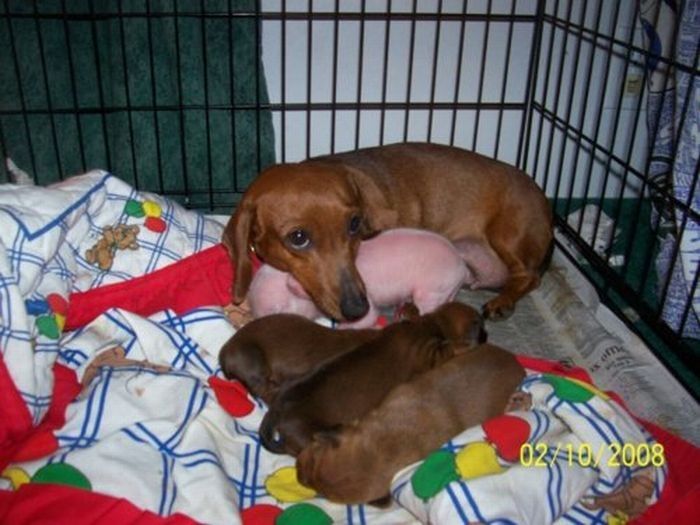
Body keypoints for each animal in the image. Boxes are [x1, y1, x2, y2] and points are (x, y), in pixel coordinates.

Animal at [224, 141, 552, 320]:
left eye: (354, 223)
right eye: (298, 238)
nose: (357, 308)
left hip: (506, 235)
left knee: (530, 277)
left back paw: (502, 301)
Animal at [258, 300, 486, 456]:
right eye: (482, 328)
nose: (485, 337)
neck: (431, 323)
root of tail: (279, 409)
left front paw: (409, 308)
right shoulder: (430, 354)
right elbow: (448, 349)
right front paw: (466, 346)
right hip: (308, 436)